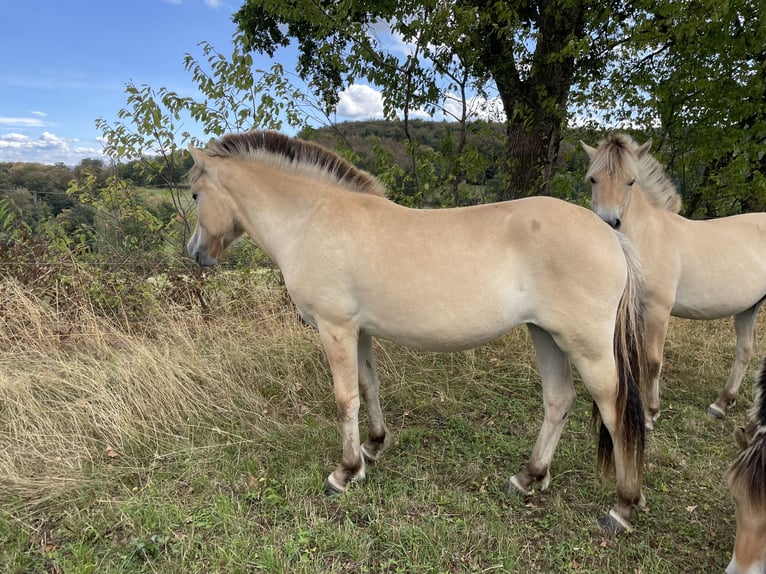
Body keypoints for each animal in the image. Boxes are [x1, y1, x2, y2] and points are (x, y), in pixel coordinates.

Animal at [187, 130, 648, 532]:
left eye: (194, 194)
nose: (195, 253)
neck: (311, 220)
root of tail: (610, 235)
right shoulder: (360, 331)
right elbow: (368, 386)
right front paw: (373, 446)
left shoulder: (335, 329)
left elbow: (345, 398)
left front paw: (345, 472)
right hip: (545, 335)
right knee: (558, 400)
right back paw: (529, 477)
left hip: (586, 347)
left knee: (614, 409)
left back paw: (623, 507)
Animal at [582, 134, 766, 426]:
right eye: (593, 179)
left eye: (630, 181)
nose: (609, 223)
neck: (649, 237)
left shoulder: (658, 311)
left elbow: (652, 361)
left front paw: (650, 412)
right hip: (748, 308)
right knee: (745, 350)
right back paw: (722, 403)